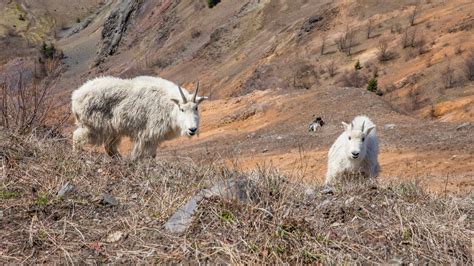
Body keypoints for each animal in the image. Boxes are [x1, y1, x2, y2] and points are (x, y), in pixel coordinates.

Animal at [71, 75, 207, 160]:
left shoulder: (152, 139)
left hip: (113, 131)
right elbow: (142, 156)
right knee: (77, 137)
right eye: (182, 109)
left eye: (196, 108)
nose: (192, 129)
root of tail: (75, 96)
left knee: (110, 147)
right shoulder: (147, 136)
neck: (169, 105)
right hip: (95, 127)